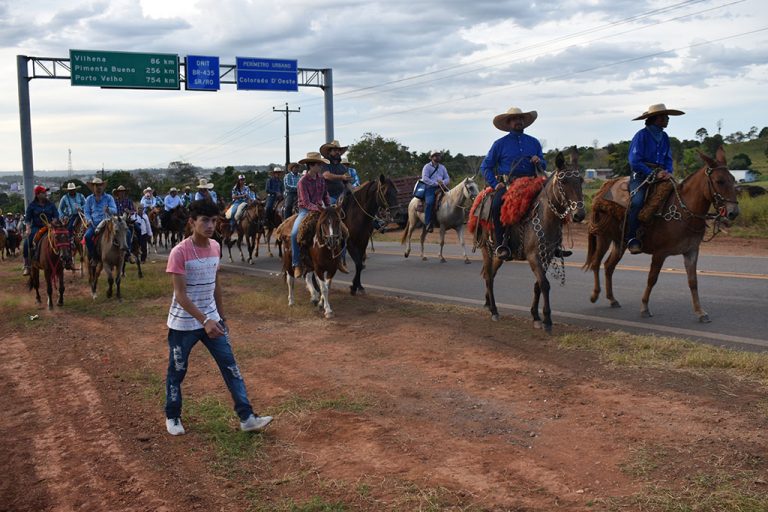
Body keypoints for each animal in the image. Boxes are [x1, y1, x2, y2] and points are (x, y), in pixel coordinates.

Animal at [477, 152, 586, 332]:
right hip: (487, 249)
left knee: (489, 274)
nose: (579, 214)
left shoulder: (546, 256)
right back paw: (494, 310)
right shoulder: (533, 256)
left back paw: (488, 304)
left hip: (499, 256)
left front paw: (535, 316)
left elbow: (538, 285)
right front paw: (547, 320)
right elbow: (545, 284)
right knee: (489, 277)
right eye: (563, 181)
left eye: (581, 181)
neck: (544, 217)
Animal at [583, 147, 739, 322]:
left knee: (609, 266)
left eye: (733, 179)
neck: (683, 211)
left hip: (620, 242)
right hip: (603, 237)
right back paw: (595, 294)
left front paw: (700, 312)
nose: (733, 212)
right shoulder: (660, 253)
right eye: (719, 181)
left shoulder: (691, 252)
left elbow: (693, 281)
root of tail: (604, 189)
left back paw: (612, 299)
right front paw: (644, 307)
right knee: (596, 263)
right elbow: (652, 279)